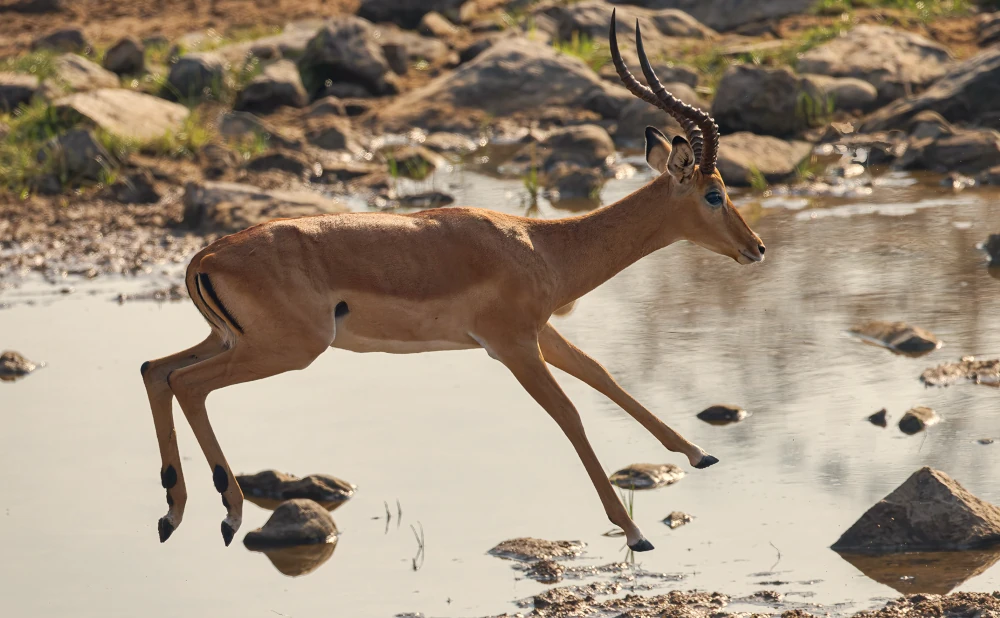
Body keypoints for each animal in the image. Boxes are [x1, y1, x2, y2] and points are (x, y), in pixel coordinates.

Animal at [139, 9, 764, 548]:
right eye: (714, 193)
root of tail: (205, 256)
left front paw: (699, 454)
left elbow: (601, 374)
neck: (543, 246)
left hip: (232, 340)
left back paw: (174, 516)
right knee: (186, 383)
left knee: (156, 369)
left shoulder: (541, 332)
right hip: (287, 349)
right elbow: (570, 413)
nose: (757, 247)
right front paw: (635, 532)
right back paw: (227, 515)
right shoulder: (512, 346)